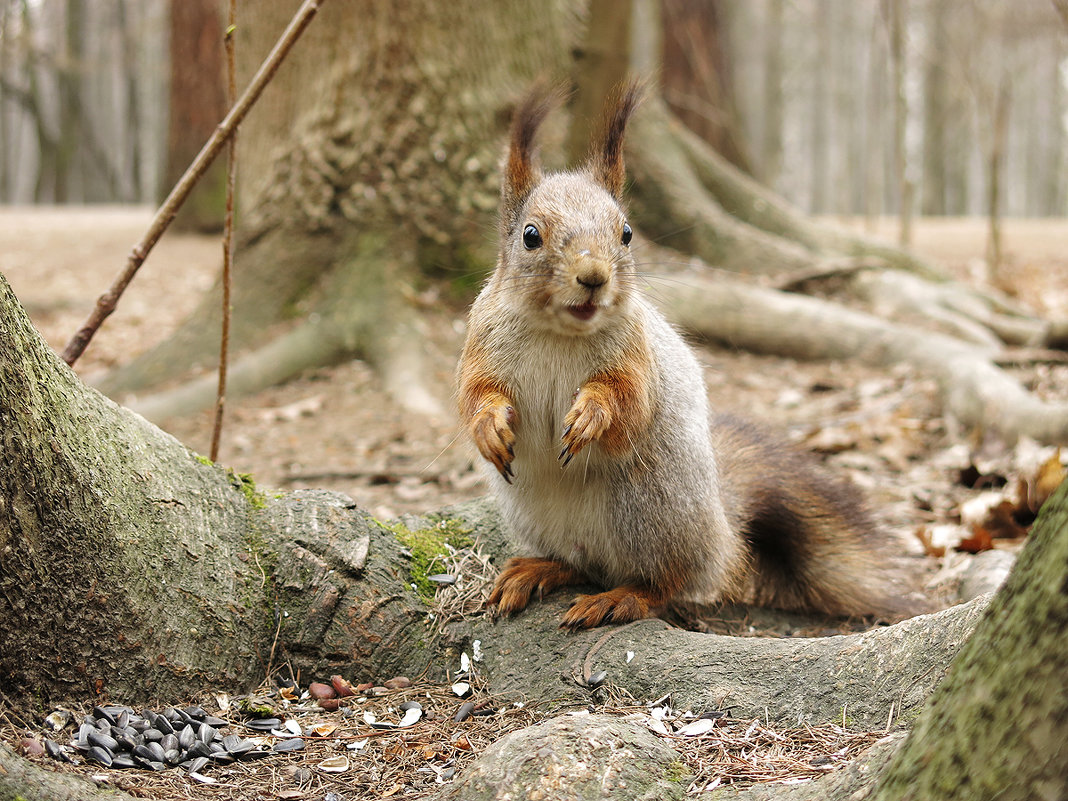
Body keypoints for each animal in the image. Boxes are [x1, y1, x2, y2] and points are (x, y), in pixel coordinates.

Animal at [459, 84, 918, 632]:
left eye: (626, 233)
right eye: (531, 235)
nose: (593, 277)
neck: (561, 331)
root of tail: (721, 532)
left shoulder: (638, 356)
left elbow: (630, 403)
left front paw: (591, 415)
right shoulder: (480, 343)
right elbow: (473, 396)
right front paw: (488, 427)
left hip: (650, 508)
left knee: (666, 582)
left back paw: (621, 597)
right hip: (542, 516)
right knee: (581, 564)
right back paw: (540, 570)